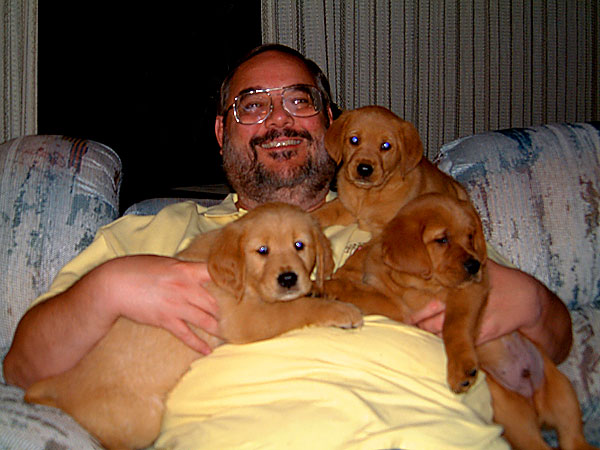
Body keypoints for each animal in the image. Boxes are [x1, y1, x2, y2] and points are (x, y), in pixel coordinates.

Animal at [25, 203, 364, 450]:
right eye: (262, 251)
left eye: (300, 245)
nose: (289, 279)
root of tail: (58, 386)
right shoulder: (243, 320)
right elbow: (295, 308)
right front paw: (342, 310)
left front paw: (320, 288)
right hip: (141, 420)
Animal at [312, 104, 472, 232]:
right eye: (354, 140)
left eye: (386, 146)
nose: (364, 169)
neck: (366, 195)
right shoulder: (344, 206)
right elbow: (325, 211)